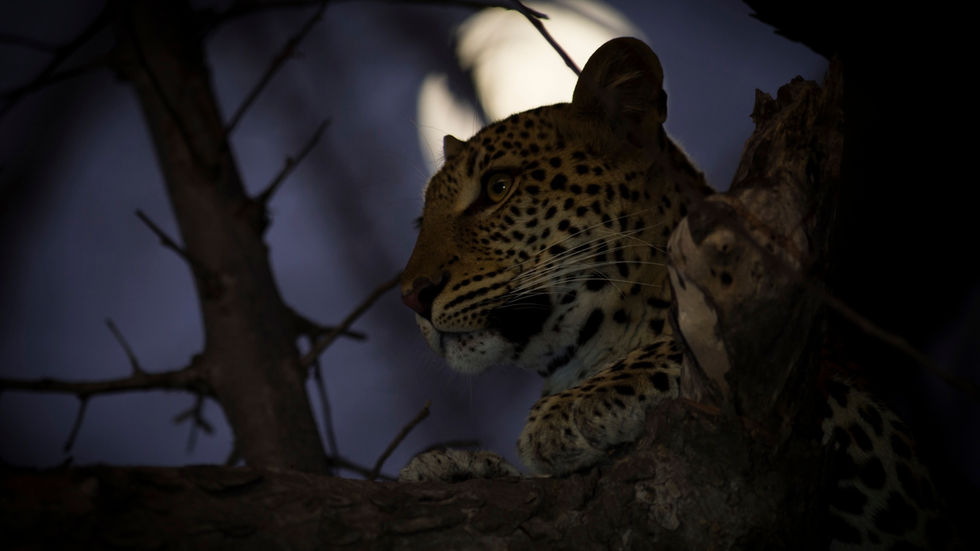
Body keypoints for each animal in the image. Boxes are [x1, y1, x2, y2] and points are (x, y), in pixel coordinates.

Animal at [398, 37, 951, 549]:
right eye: (422, 222)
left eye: (498, 188)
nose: (413, 297)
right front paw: (454, 467)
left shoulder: (885, 461)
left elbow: (690, 352)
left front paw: (572, 408)